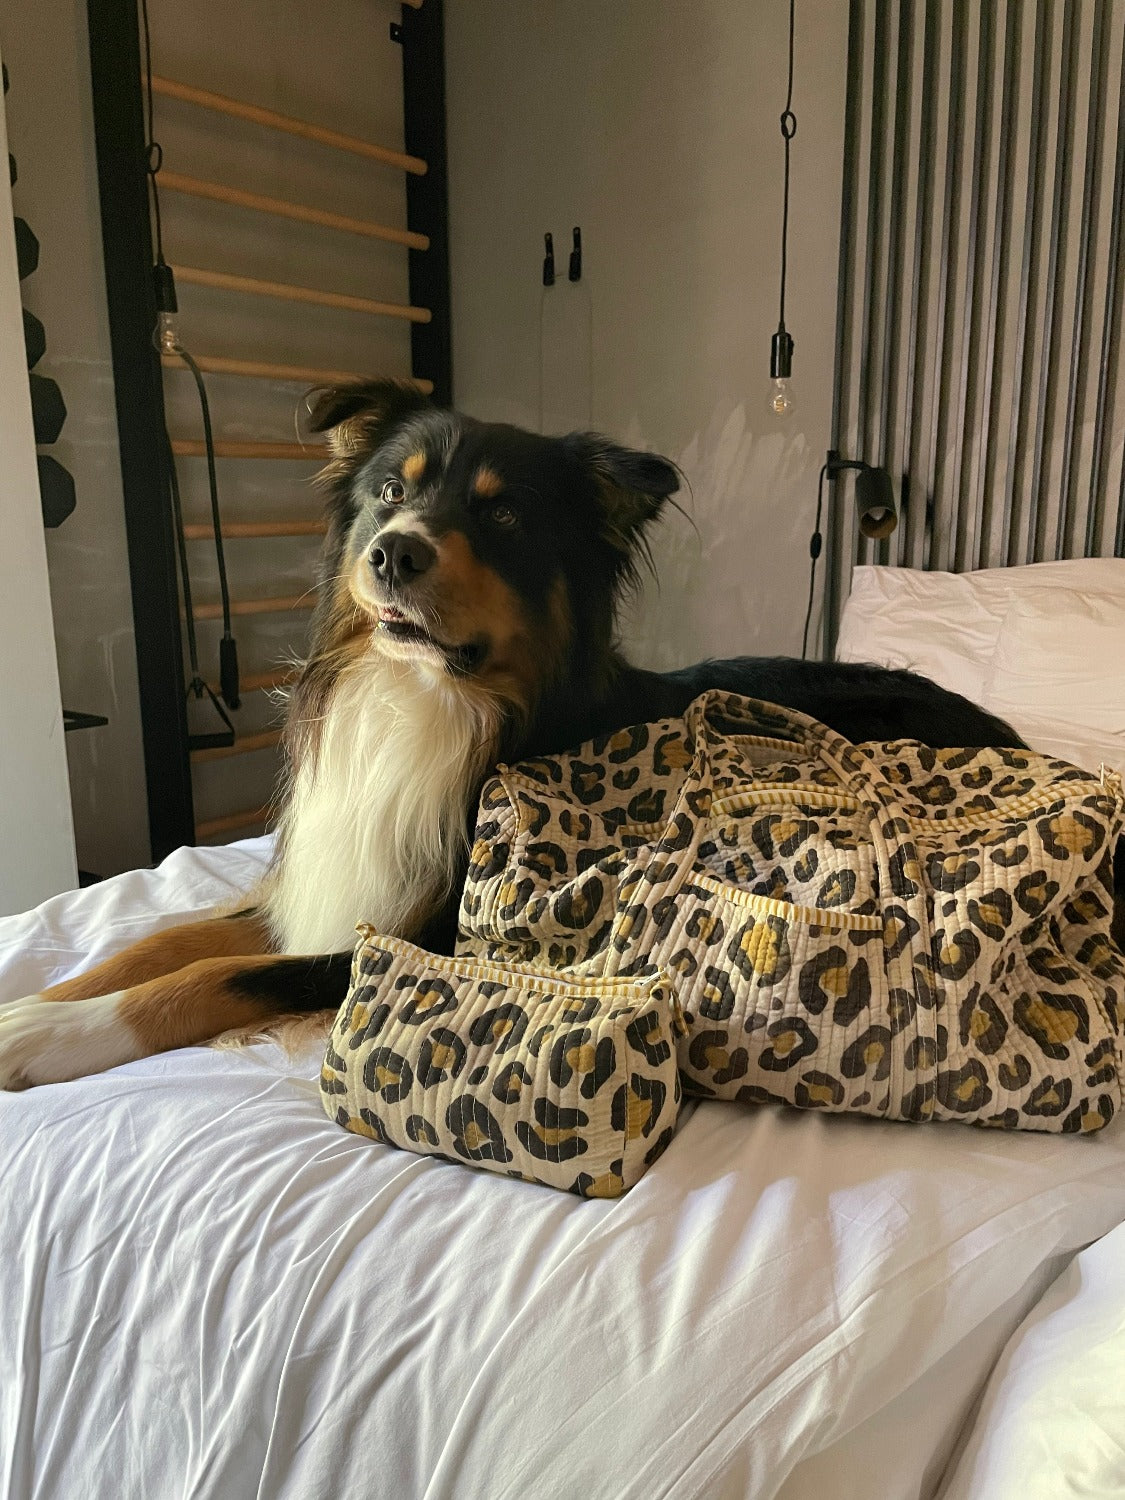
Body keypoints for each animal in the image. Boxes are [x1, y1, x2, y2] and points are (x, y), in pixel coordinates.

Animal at [1, 379, 1097, 1090]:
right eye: (390, 491)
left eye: (504, 519)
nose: (393, 552)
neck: (431, 701)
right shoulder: (322, 879)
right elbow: (162, 939)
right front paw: (43, 996)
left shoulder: (418, 933)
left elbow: (215, 975)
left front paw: (52, 1038)